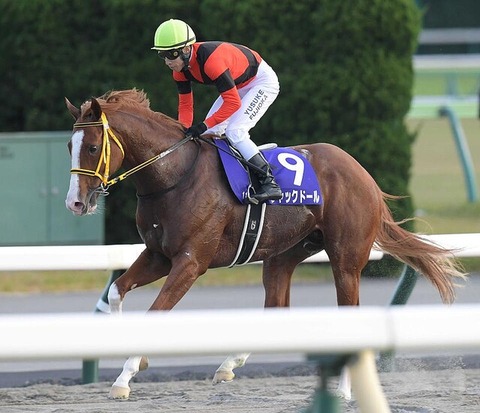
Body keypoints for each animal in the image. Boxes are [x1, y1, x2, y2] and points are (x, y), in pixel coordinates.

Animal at [65, 89, 464, 400]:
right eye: (70, 145)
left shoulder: (190, 262)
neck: (173, 175)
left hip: (346, 258)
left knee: (348, 309)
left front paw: (124, 377)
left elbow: (155, 312)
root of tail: (362, 172)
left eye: (94, 147)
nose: (76, 203)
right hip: (284, 254)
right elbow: (116, 291)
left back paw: (343, 389)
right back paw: (230, 364)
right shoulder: (157, 255)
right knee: (275, 306)